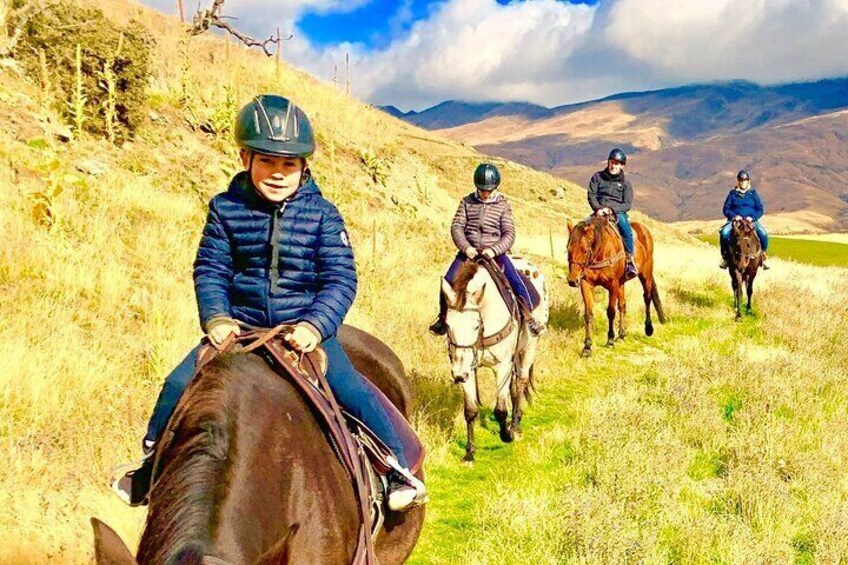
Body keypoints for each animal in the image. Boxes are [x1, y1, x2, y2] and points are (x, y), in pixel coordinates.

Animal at [438, 258, 548, 460]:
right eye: (448, 325)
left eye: (475, 325)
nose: (457, 375)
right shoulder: (466, 368)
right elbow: (470, 410)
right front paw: (470, 452)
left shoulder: (502, 365)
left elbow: (500, 410)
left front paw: (507, 435)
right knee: (514, 388)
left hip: (528, 348)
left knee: (520, 383)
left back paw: (515, 426)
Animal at [568, 216, 664, 356]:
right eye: (568, 249)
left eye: (584, 250)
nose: (572, 280)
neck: (600, 253)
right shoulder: (586, 284)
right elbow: (589, 314)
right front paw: (587, 347)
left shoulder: (613, 285)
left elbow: (611, 312)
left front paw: (610, 340)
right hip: (622, 283)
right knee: (622, 305)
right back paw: (622, 334)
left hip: (645, 275)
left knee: (647, 298)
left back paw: (648, 328)